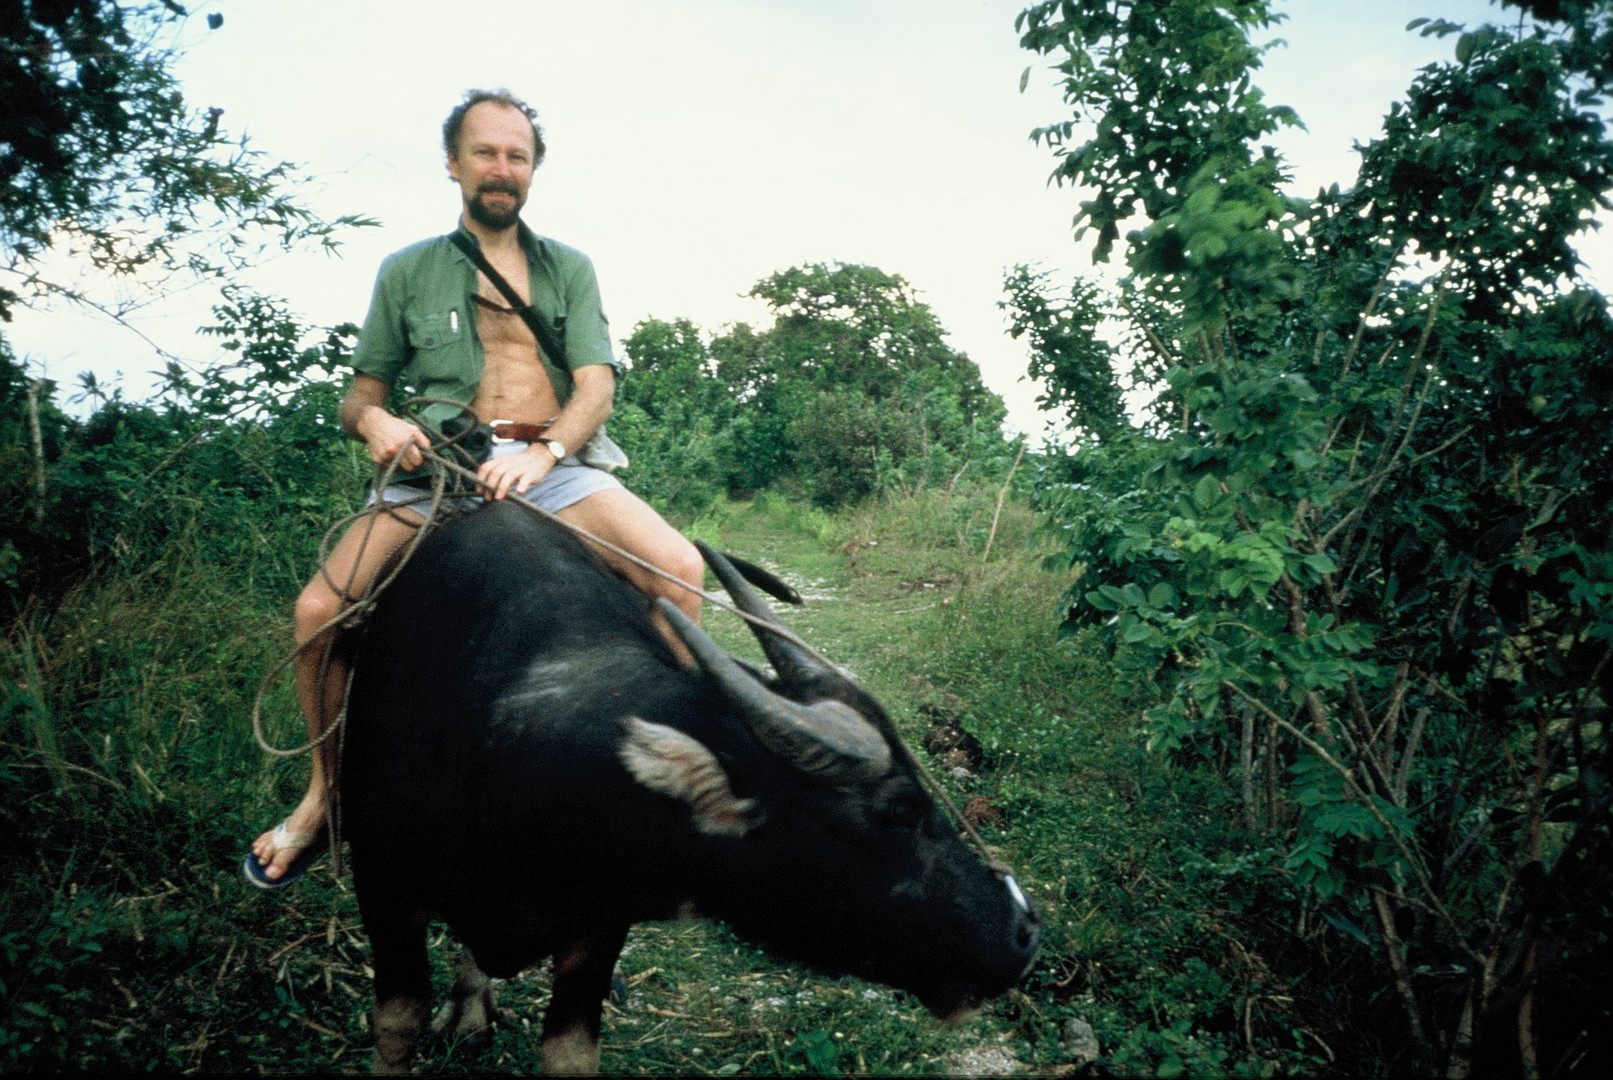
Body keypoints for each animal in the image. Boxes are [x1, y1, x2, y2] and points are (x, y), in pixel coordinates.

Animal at [343, 502, 1045, 1076]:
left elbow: (569, 1051)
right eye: (898, 811)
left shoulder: (599, 922)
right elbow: (397, 1024)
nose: (1024, 931)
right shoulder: (382, 884)